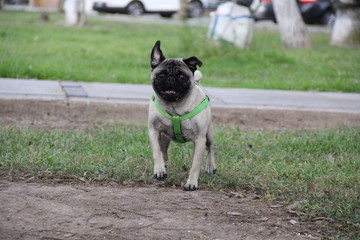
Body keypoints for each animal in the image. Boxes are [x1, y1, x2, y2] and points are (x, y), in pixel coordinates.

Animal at [148, 41, 215, 191]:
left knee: (210, 148)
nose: (171, 79)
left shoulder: (200, 140)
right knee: (163, 151)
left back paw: (211, 167)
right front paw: (159, 170)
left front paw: (192, 183)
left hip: (208, 134)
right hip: (164, 137)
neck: (174, 107)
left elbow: (195, 165)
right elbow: (156, 151)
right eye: (161, 75)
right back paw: (163, 166)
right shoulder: (153, 131)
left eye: (182, 77)